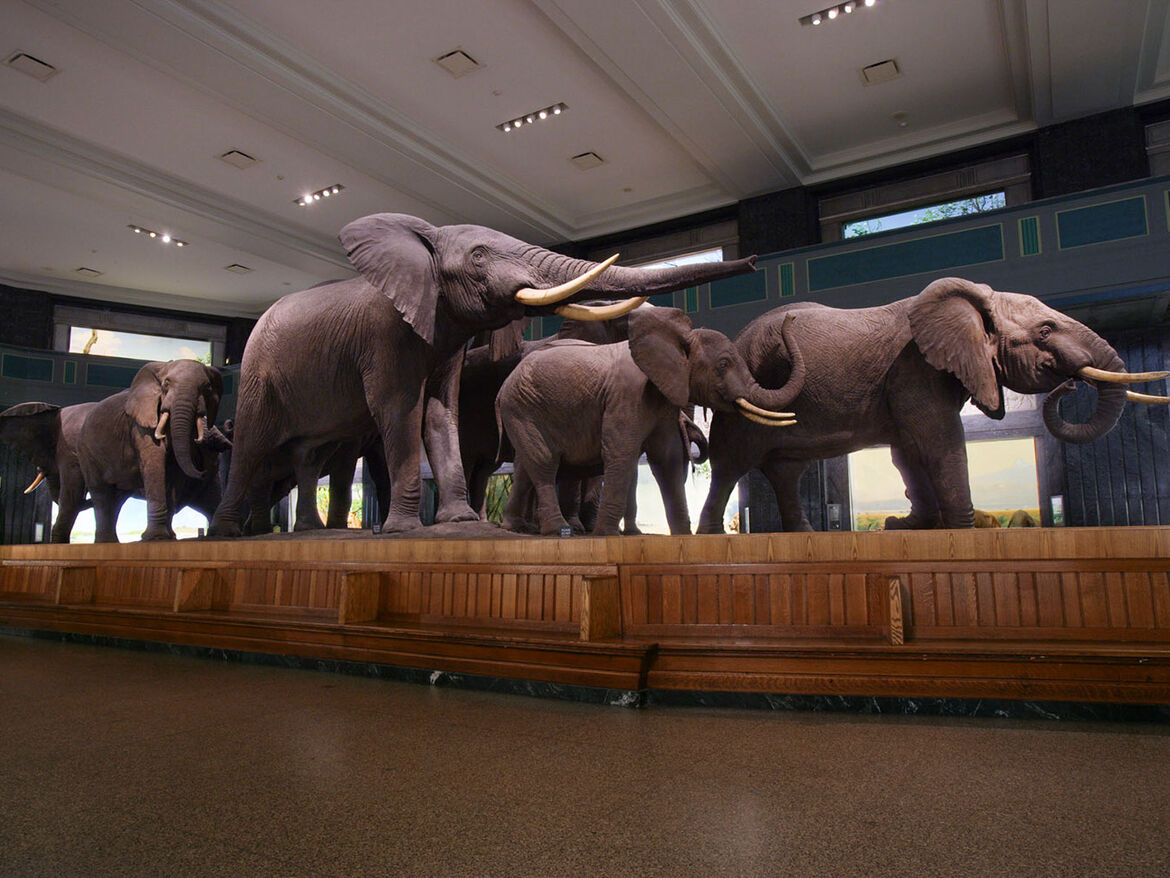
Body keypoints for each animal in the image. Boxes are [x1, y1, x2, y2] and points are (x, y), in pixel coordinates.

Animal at [77, 358, 228, 543]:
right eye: (166, 384)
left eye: (207, 387)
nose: (203, 472)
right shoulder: (141, 424)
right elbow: (155, 461)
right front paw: (156, 537)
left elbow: (172, 473)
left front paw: (168, 537)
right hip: (86, 451)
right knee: (101, 492)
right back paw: (106, 542)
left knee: (117, 497)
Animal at [208, 216, 758, 540]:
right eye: (477, 257)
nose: (753, 260)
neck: (424, 242)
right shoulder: (386, 337)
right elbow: (400, 411)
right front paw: (405, 531)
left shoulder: (444, 337)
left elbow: (439, 412)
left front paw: (459, 523)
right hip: (258, 368)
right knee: (255, 440)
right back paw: (228, 534)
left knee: (310, 452)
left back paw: (308, 532)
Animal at [493, 306, 804, 536]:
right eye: (724, 364)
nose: (791, 318)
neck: (679, 338)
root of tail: (502, 389)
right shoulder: (627, 395)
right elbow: (621, 452)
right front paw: (606, 536)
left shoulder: (661, 403)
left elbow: (668, 459)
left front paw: (682, 536)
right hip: (521, 407)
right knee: (544, 461)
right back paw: (558, 530)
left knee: (527, 463)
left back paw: (515, 527)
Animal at [697, 275, 1165, 536]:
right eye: (1046, 331)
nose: (1068, 385)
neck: (971, 305)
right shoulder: (915, 368)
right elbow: (938, 439)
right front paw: (962, 531)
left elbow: (908, 450)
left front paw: (906, 527)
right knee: (730, 465)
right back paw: (710, 537)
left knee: (787, 471)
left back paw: (803, 534)